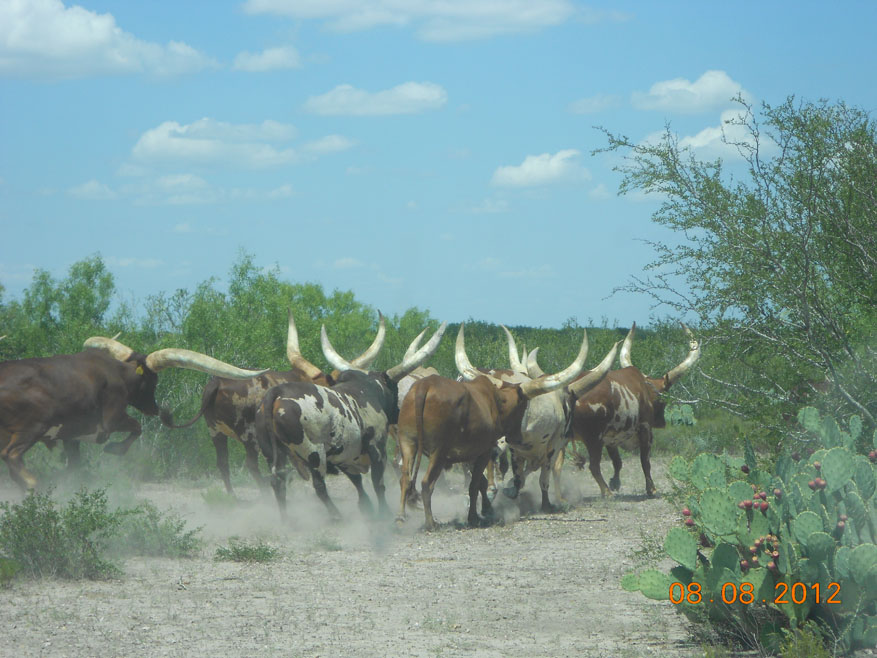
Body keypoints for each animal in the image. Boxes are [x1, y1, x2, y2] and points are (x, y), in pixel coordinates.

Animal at [0, 336, 266, 490]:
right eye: (153, 381)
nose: (154, 408)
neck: (117, 373)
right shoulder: (109, 423)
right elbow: (136, 428)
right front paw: (115, 449)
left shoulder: (71, 437)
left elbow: (74, 464)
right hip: (31, 428)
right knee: (10, 455)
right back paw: (31, 483)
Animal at [396, 322, 604, 528]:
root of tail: (424, 387)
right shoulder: (543, 444)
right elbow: (528, 476)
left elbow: (486, 480)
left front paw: (487, 505)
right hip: (442, 451)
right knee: (427, 482)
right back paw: (433, 522)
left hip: (408, 443)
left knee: (405, 477)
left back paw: (402, 517)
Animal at [548, 320, 704, 494]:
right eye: (663, 400)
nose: (662, 423)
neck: (645, 388)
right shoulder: (645, 429)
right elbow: (645, 462)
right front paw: (651, 488)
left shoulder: (611, 438)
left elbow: (617, 462)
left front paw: (615, 482)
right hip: (593, 438)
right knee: (593, 466)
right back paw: (606, 492)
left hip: (563, 440)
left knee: (556, 467)